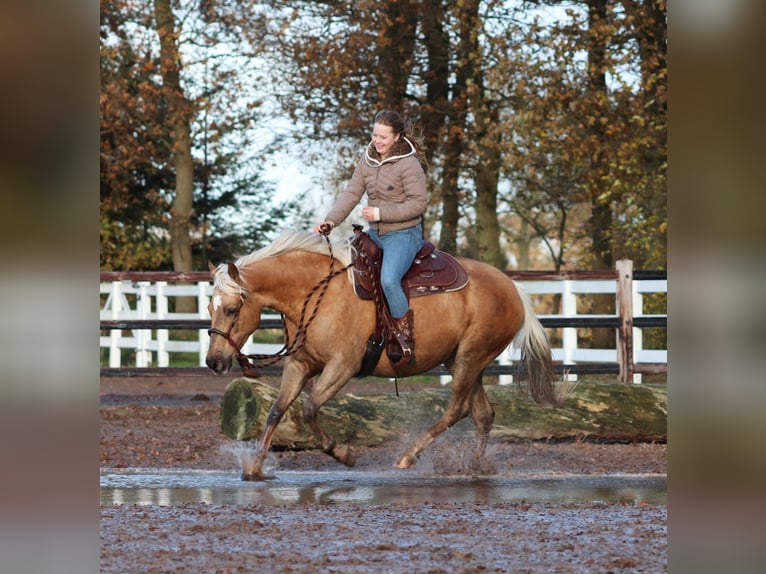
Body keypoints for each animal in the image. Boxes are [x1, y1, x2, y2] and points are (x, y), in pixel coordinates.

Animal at [207, 227, 560, 480]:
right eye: (210, 308)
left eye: (232, 309)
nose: (213, 361)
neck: (315, 291)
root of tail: (512, 288)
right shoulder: (300, 364)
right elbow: (276, 411)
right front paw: (255, 466)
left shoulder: (342, 367)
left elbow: (308, 409)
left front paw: (344, 455)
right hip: (465, 361)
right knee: (482, 414)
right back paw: (474, 466)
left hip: (469, 359)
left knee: (457, 409)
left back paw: (408, 456)